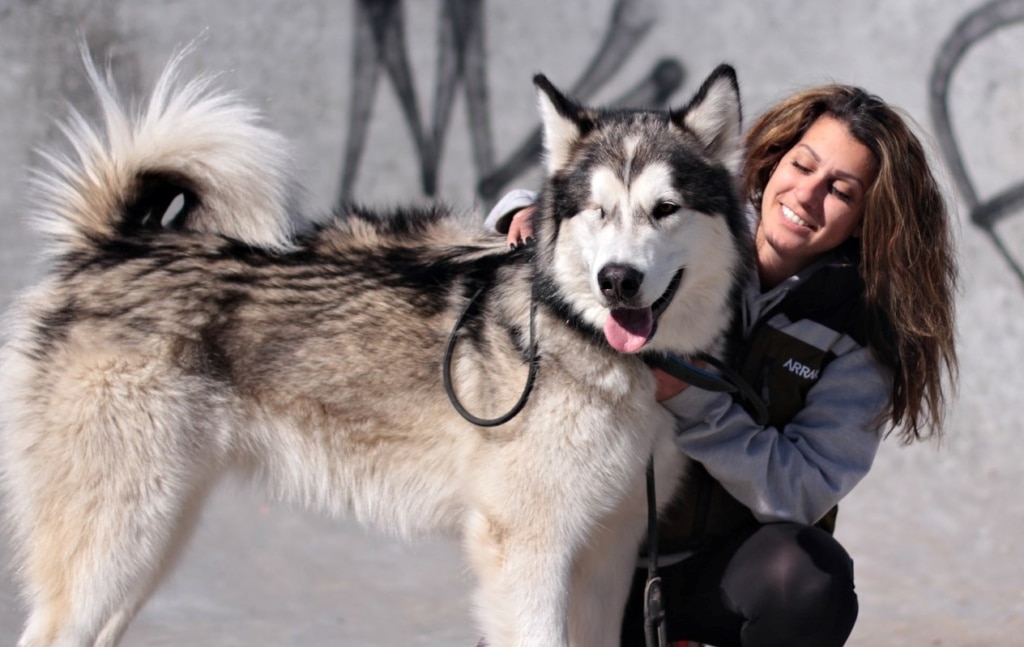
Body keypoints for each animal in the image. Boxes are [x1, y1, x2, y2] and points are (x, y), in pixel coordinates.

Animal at [0, 49, 753, 647]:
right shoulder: (528, 552)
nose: (617, 280)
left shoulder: (606, 554)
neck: (588, 343)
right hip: (119, 541)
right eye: (597, 211)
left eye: (664, 209)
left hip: (153, 538)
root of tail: (112, 244)